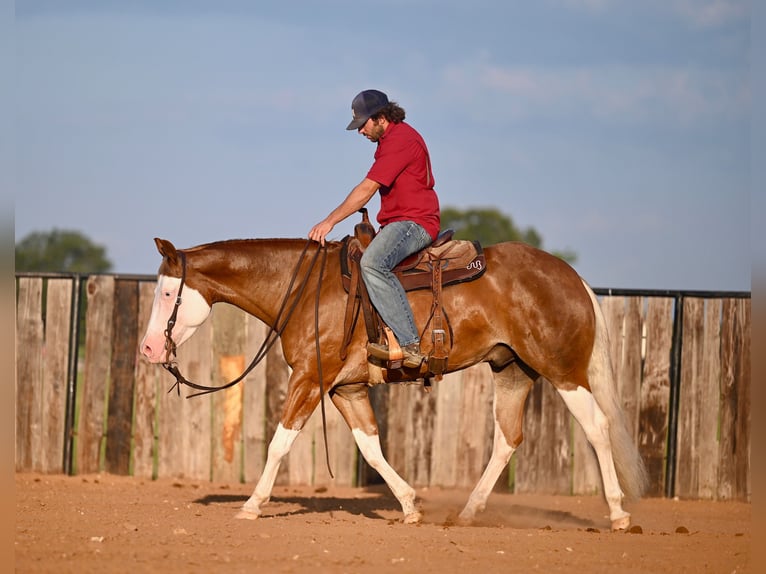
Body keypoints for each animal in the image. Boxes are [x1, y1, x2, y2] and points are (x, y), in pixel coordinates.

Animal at [142, 235, 648, 532]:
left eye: (167, 292)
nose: (148, 349)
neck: (303, 289)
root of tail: (573, 277)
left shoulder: (309, 379)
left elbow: (279, 443)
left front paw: (251, 505)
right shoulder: (345, 390)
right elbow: (371, 448)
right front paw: (410, 505)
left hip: (563, 372)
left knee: (597, 428)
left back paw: (620, 514)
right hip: (511, 370)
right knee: (508, 438)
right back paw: (468, 512)